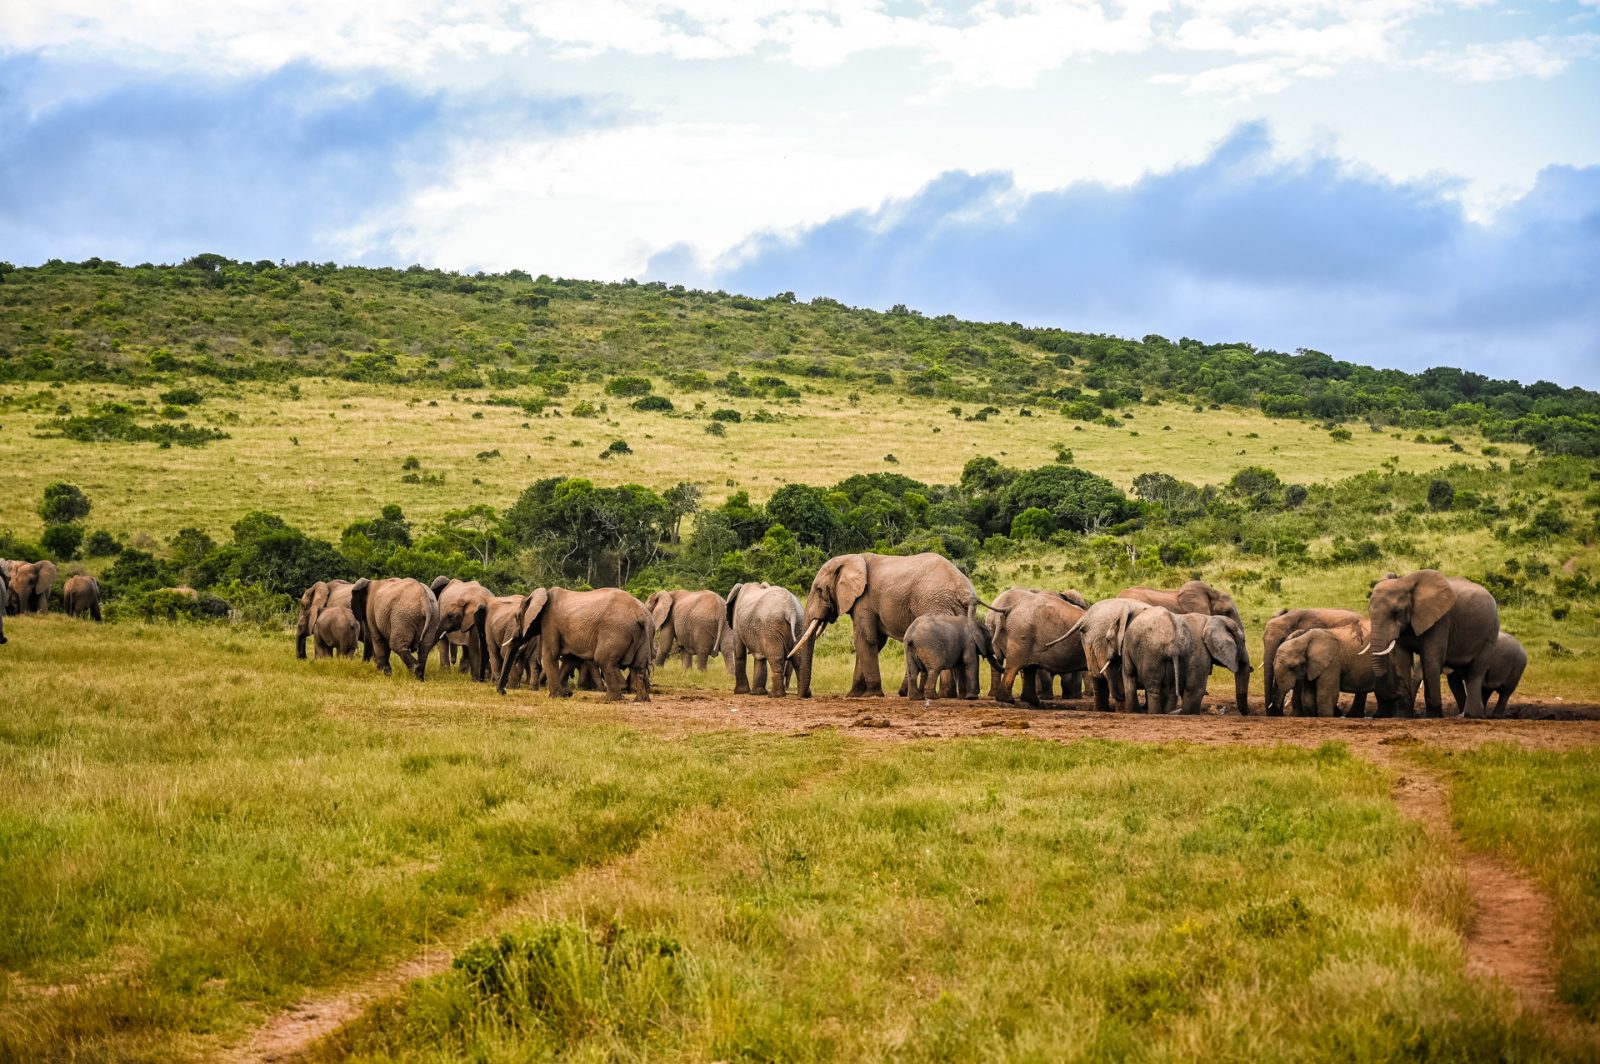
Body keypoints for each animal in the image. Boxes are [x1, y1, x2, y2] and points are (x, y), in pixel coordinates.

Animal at [496, 587, 653, 702]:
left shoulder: (550, 623)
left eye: (517, 616)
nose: (503, 692)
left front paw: (554, 696)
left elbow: (550, 655)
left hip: (615, 631)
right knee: (639, 666)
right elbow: (570, 659)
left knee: (604, 660)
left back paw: (610, 699)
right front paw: (566, 694)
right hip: (644, 634)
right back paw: (641, 700)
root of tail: (642, 614)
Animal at [790, 552, 977, 698]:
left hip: (934, 604)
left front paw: (871, 694)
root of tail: (964, 590)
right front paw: (854, 695)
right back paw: (953, 695)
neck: (852, 558)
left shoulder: (863, 600)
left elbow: (865, 639)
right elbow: (874, 642)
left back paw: (943, 695)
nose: (804, 695)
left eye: (819, 590)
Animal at [1368, 570, 1500, 718]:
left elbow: (1431, 660)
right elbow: (1402, 660)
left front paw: (1433, 715)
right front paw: (1402, 715)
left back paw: (1472, 715)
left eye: (1396, 612)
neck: (1406, 582)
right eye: (1369, 611)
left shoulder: (1441, 621)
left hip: (1490, 631)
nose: (1398, 692)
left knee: (1475, 672)